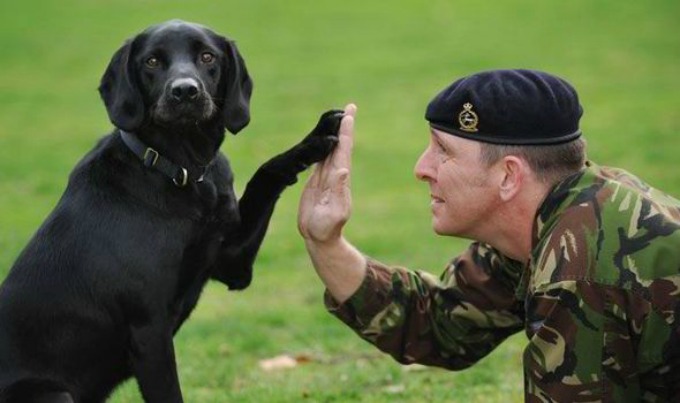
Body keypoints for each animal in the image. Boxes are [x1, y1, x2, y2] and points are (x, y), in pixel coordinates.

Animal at [0, 20, 340, 402]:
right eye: (151, 61)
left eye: (207, 56)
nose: (185, 92)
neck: (182, 170)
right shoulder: (149, 331)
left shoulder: (233, 265)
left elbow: (265, 174)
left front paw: (314, 140)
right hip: (50, 393)